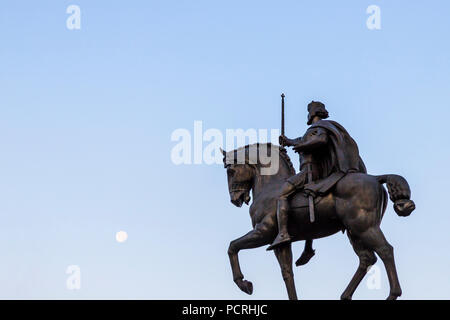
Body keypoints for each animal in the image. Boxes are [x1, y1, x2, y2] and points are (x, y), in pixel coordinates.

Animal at [221, 143, 414, 300]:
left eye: (230, 171)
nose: (235, 199)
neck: (270, 186)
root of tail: (375, 178)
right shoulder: (280, 244)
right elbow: (287, 273)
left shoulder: (264, 232)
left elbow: (233, 246)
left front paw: (244, 284)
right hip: (354, 232)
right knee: (367, 258)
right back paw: (345, 296)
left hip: (365, 228)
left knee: (385, 250)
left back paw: (392, 294)